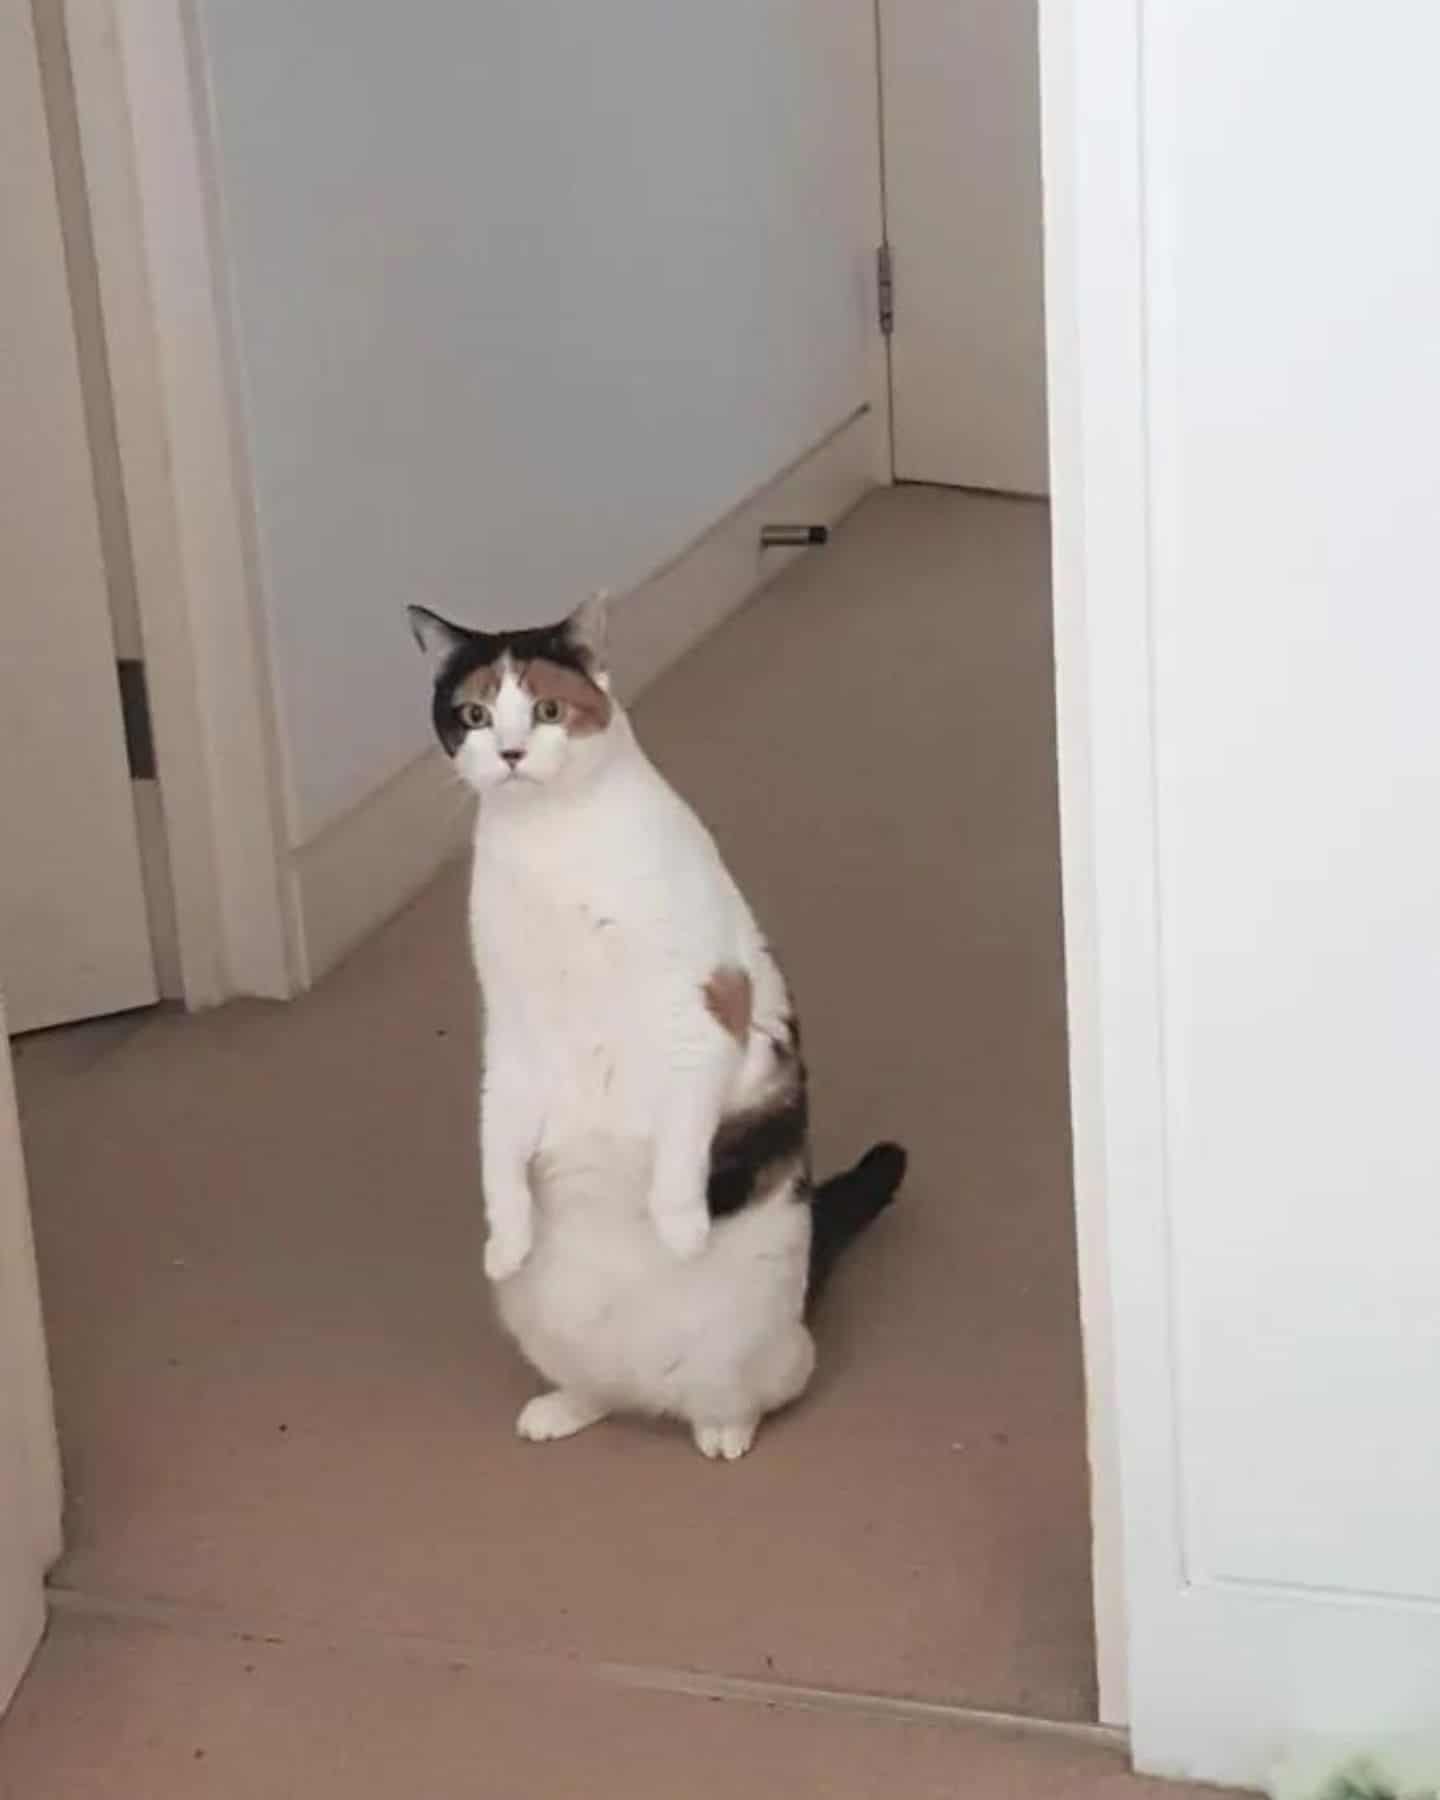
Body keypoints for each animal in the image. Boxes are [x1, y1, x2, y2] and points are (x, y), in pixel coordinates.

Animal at [408, 597, 900, 1454]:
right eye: (473, 715)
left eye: (547, 710)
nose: (509, 753)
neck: (552, 843)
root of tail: (649, 1396)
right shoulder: (511, 1041)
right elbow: (497, 1145)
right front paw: (506, 1239)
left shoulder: (703, 1016)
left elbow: (679, 1137)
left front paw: (679, 1229)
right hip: (542, 1324)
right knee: (599, 1387)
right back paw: (564, 1407)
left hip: (766, 1346)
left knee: (747, 1392)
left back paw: (723, 1429)